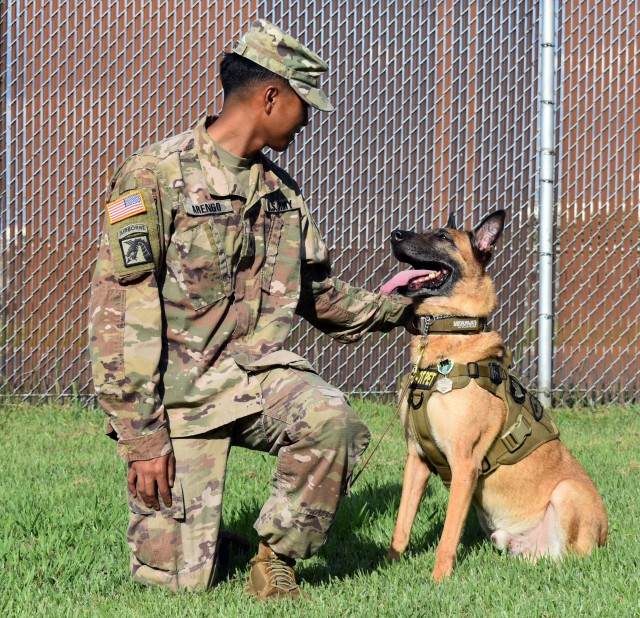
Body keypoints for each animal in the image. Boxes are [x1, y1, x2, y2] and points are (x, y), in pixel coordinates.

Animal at [380, 211, 608, 576]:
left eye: (442, 236)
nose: (395, 234)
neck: (449, 338)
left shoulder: (465, 464)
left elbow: (447, 536)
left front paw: (439, 579)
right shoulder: (417, 459)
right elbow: (402, 524)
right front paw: (389, 566)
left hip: (568, 492)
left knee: (574, 560)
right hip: (505, 537)